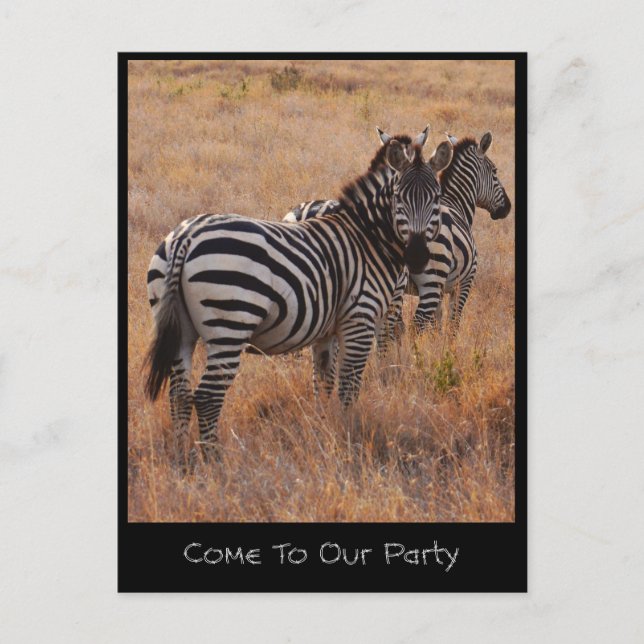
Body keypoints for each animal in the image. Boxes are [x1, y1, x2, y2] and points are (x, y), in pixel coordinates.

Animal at [145, 127, 453, 460]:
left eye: (437, 198)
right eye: (398, 198)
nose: (418, 257)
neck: (367, 238)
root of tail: (185, 237)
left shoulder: (327, 332)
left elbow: (324, 383)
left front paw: (324, 428)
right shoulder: (360, 319)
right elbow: (349, 387)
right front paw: (347, 434)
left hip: (181, 329)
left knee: (179, 394)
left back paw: (181, 458)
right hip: (230, 322)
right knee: (206, 397)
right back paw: (213, 460)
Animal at [398, 131, 512, 333]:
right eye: (495, 171)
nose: (507, 207)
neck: (456, 202)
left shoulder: (441, 290)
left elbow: (437, 325)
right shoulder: (463, 284)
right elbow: (453, 325)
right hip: (431, 282)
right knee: (416, 325)